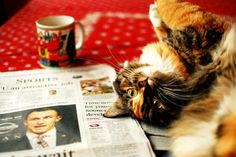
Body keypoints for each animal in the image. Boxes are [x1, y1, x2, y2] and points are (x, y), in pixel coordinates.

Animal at [104, 0, 235, 157]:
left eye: (132, 92)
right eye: (156, 103)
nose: (146, 81)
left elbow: (167, 24)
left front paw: (154, 11)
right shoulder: (198, 32)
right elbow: (177, 10)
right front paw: (158, 8)